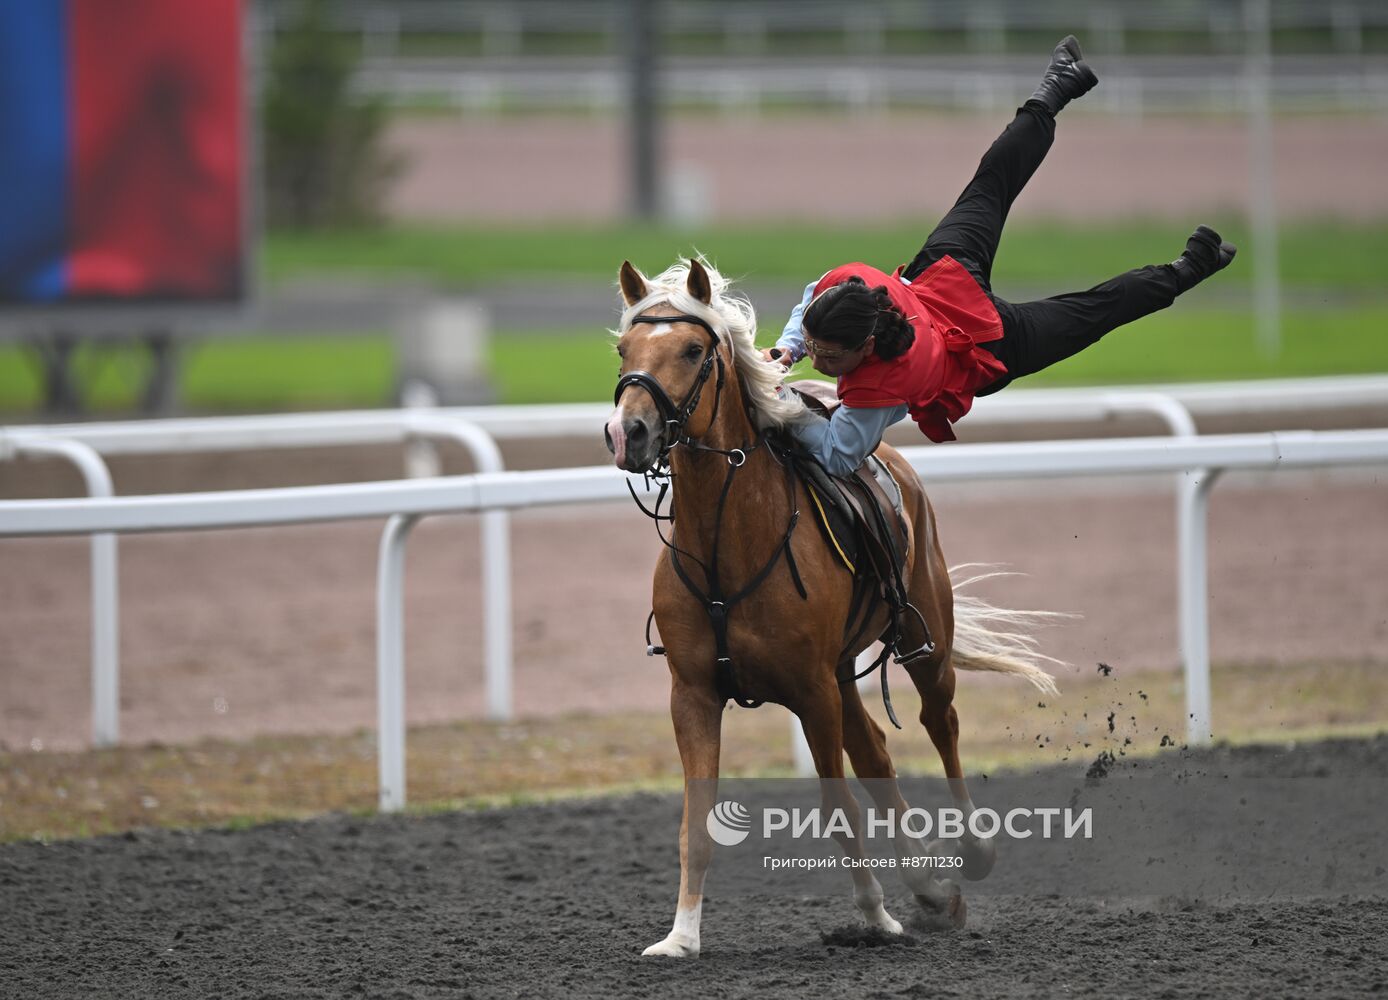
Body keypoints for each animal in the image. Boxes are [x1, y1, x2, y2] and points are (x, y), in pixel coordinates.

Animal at [605, 254, 1060, 955]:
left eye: (692, 349)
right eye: (625, 348)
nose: (628, 431)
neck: (728, 544)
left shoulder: (812, 691)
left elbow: (838, 808)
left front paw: (875, 915)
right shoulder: (694, 693)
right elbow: (697, 823)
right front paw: (680, 936)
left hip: (921, 642)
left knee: (940, 723)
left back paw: (971, 850)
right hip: (843, 670)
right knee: (875, 750)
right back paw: (930, 888)